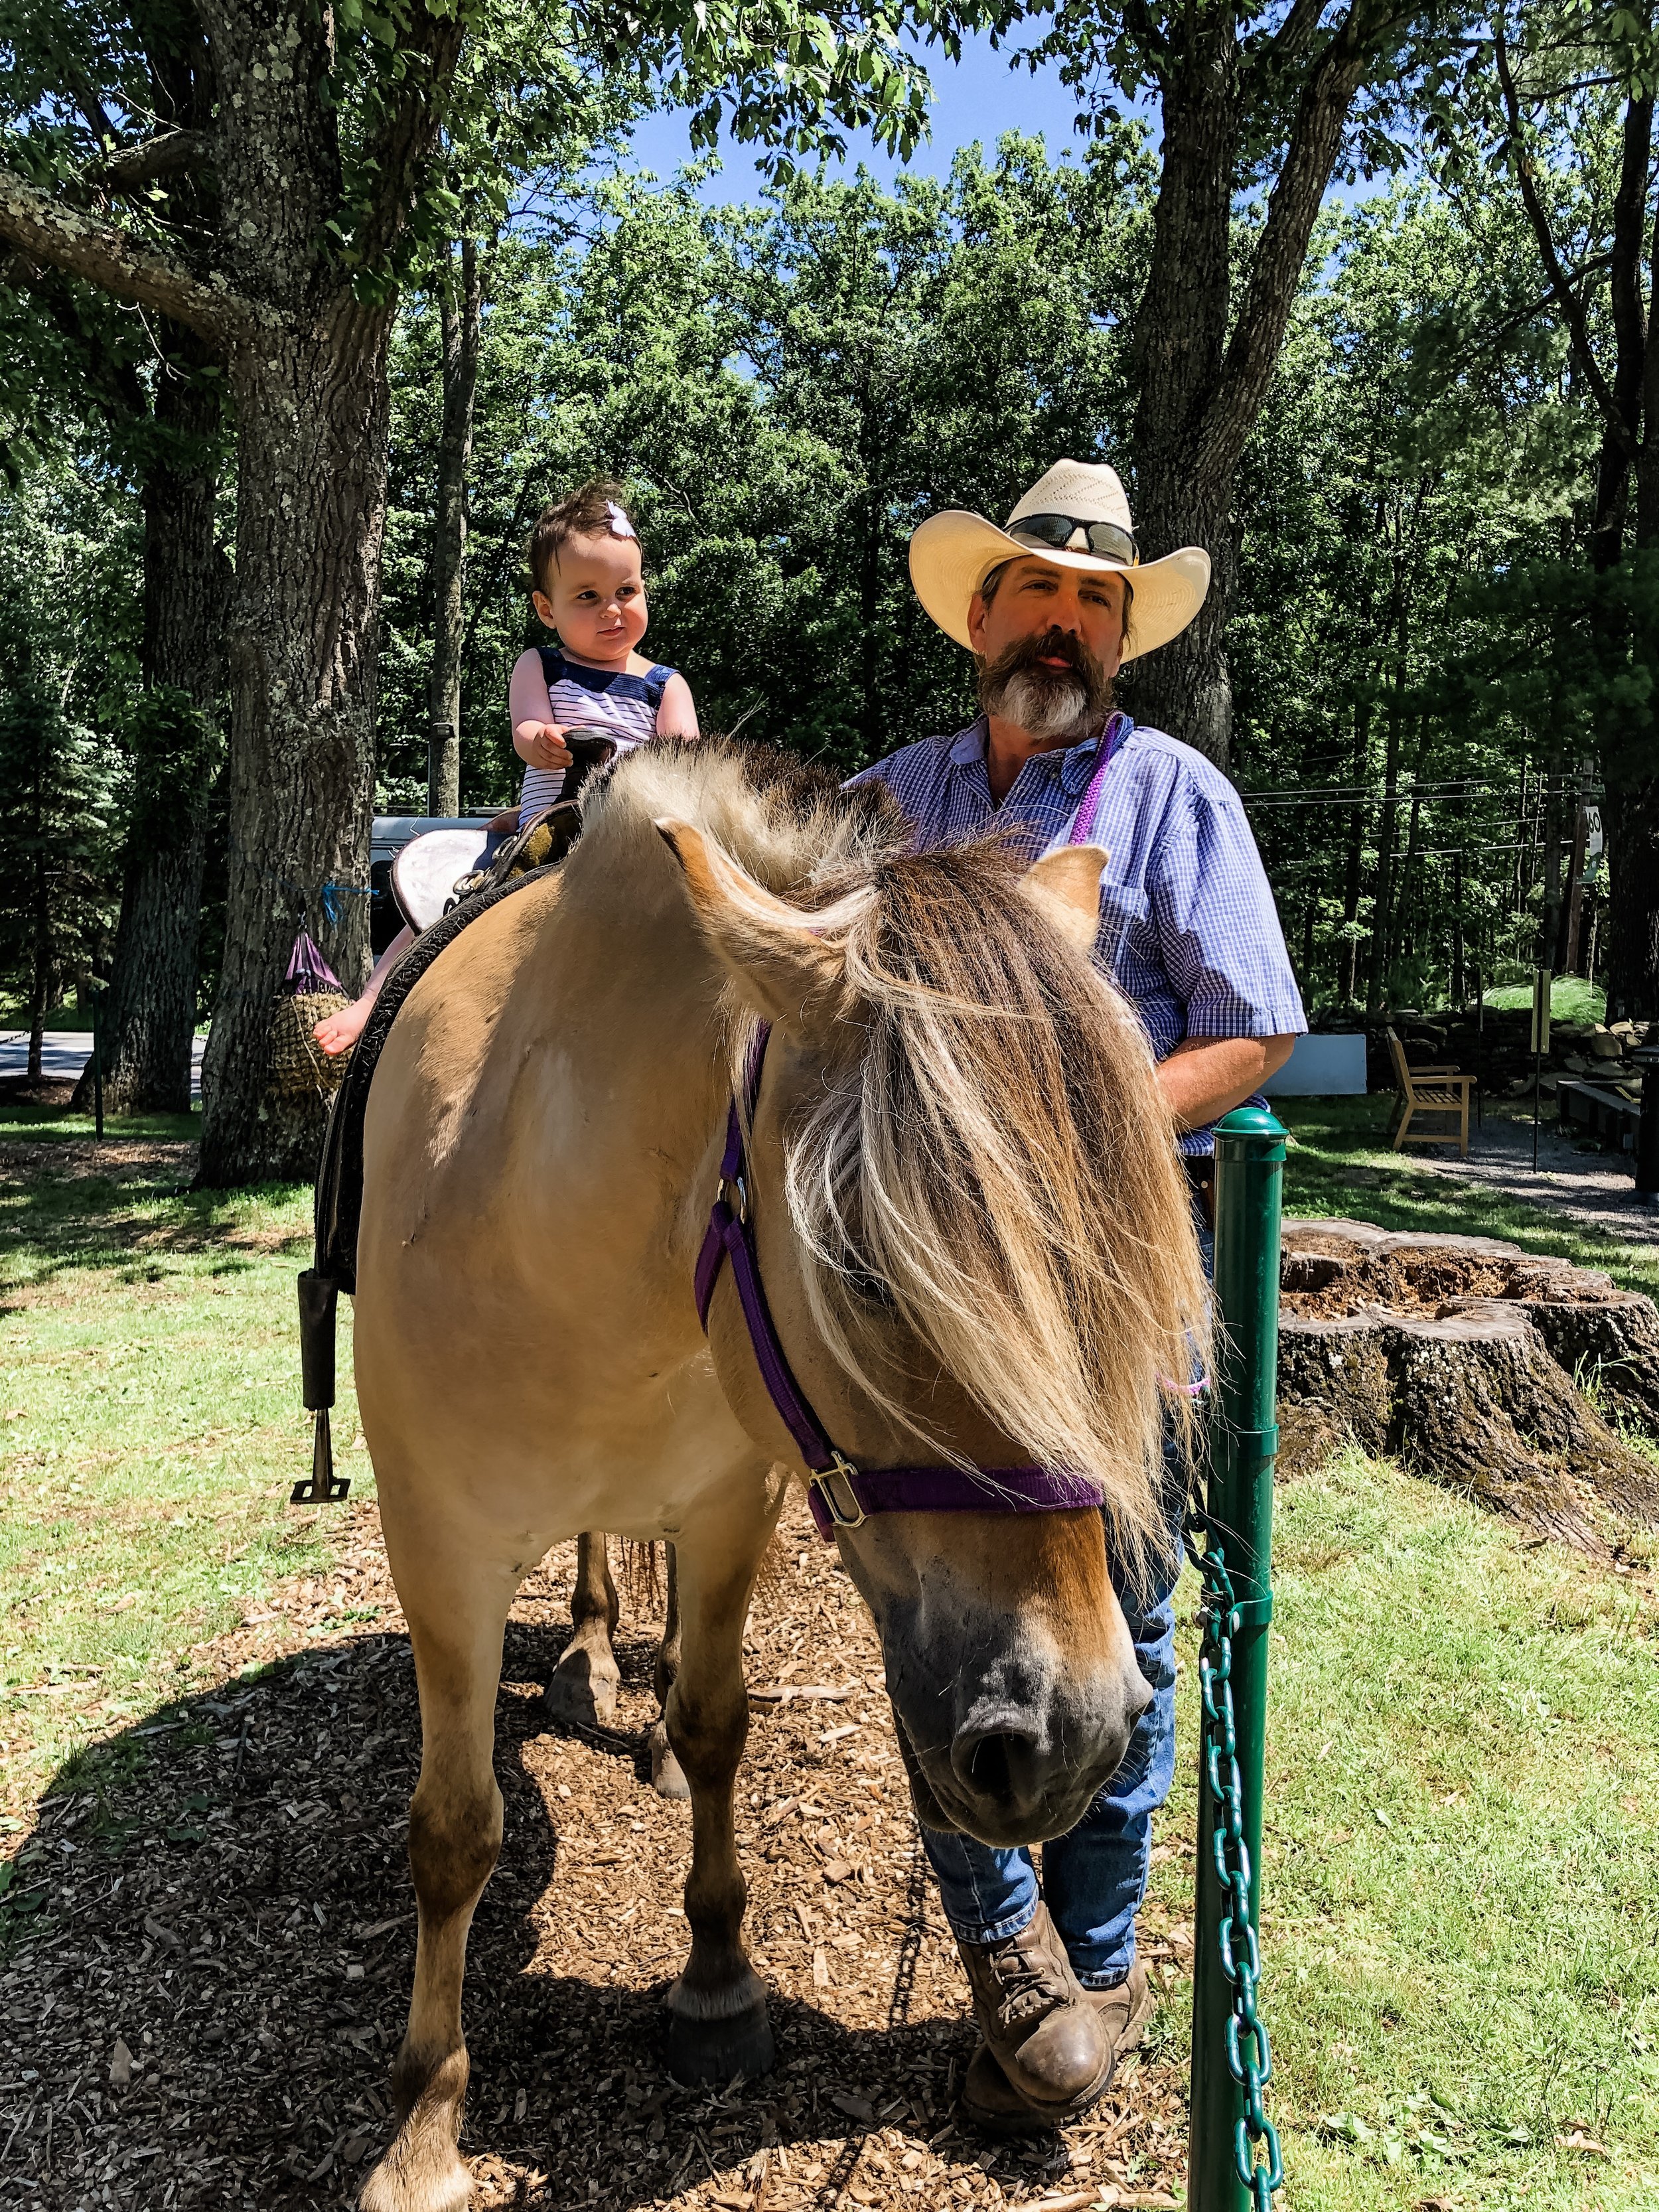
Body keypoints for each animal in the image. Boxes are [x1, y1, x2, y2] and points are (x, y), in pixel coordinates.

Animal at [354, 743, 1212, 2212]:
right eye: (866, 1270)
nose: (1074, 1735)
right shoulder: (439, 1553)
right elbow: (454, 1830)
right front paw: (424, 2121)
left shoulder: (725, 1510)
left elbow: (716, 1728)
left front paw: (714, 1982)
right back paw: (589, 1652)